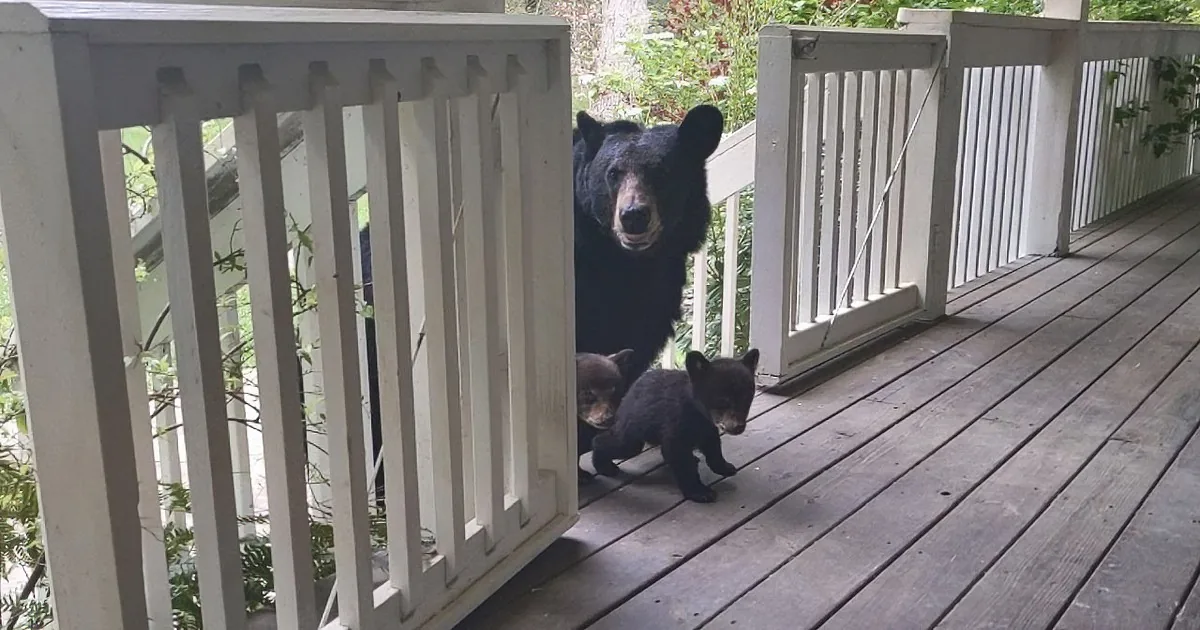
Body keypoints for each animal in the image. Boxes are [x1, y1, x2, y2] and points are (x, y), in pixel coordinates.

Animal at [591, 348, 759, 503]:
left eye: (746, 399)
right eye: (722, 400)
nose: (738, 427)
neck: (696, 410)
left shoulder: (707, 427)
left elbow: (713, 446)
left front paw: (724, 466)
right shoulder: (675, 423)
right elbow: (680, 457)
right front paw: (699, 491)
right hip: (633, 427)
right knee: (618, 443)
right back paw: (604, 465)